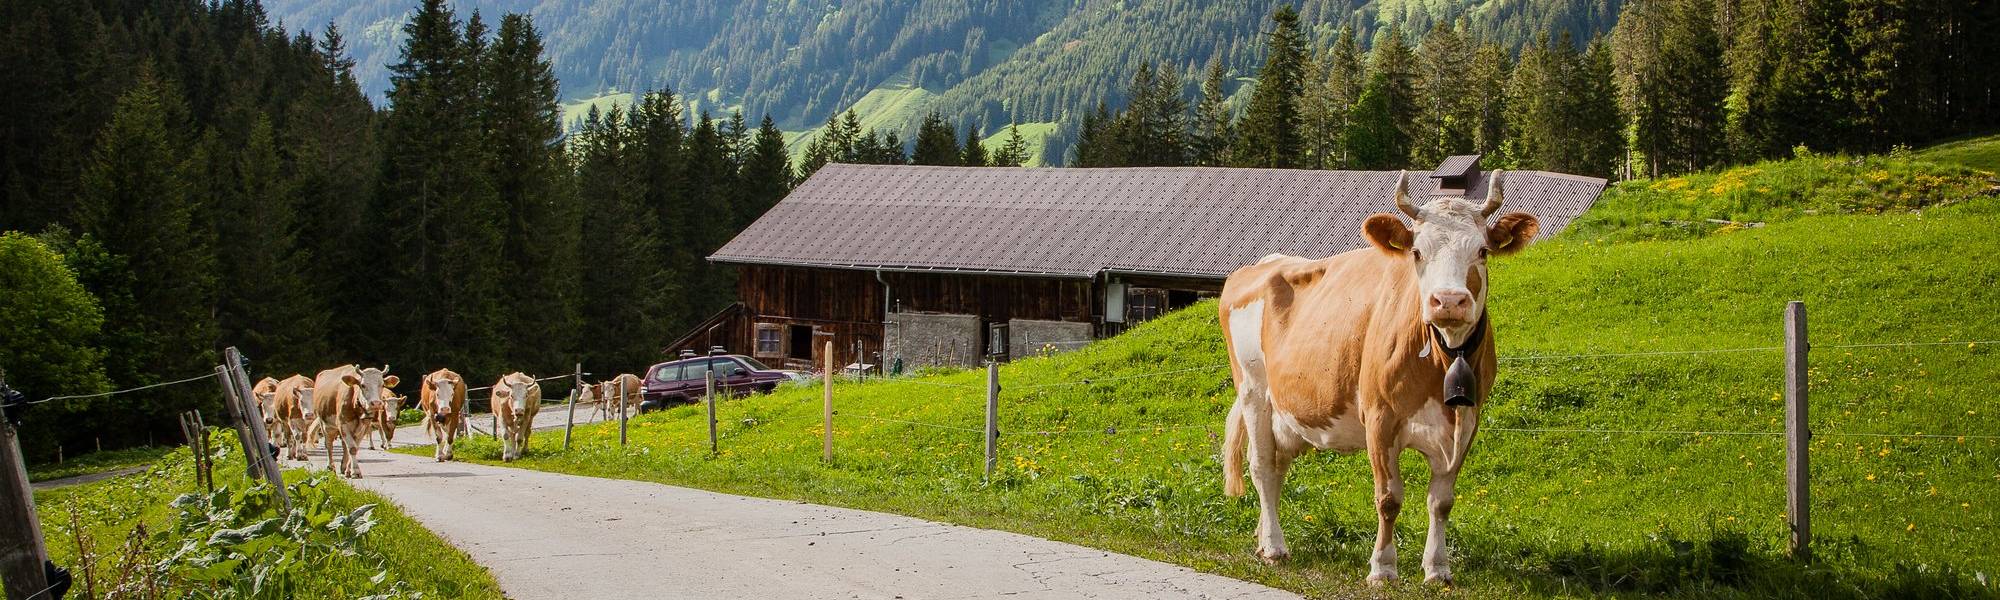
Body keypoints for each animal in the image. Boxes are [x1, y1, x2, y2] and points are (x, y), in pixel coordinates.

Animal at [1218, 171, 1538, 586]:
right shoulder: (1380, 418)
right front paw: (1383, 567)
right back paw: (1274, 547)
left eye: (1482, 251)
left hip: (1287, 413)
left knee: (1277, 468)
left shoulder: (1467, 421)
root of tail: (1262, 264)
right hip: (1253, 390)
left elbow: (1442, 501)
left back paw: (1262, 538)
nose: (1448, 301)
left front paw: (1438, 568)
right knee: (1261, 466)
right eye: (1417, 252)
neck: (1444, 358)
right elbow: (1389, 498)